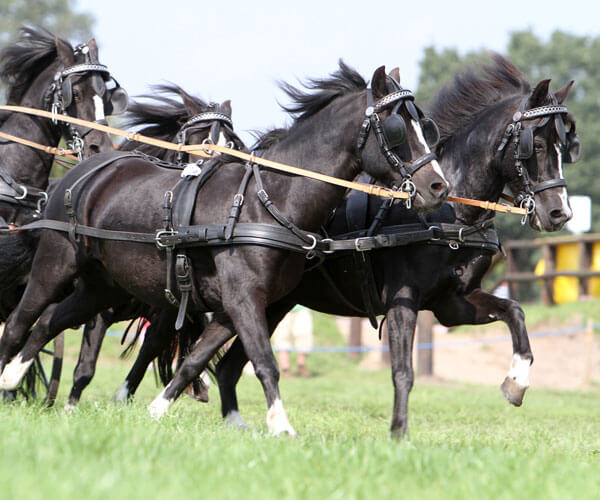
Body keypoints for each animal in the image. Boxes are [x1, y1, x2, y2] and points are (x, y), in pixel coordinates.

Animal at [0, 62, 450, 434]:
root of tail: (80, 172)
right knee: (22, 320)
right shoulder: (243, 297)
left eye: (426, 128)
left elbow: (196, 358)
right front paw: (281, 426)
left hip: (102, 285)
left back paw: (13, 379)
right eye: (397, 129)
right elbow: (265, 361)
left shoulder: (236, 305)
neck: (269, 200)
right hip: (56, 265)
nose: (438, 187)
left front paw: (158, 410)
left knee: (49, 321)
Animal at [193, 55, 580, 438]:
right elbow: (403, 371)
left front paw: (517, 382)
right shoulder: (402, 298)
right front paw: (399, 432)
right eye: (536, 145)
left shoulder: (451, 303)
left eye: (567, 147)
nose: (559, 212)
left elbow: (515, 312)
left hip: (273, 304)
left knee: (223, 366)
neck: (449, 215)